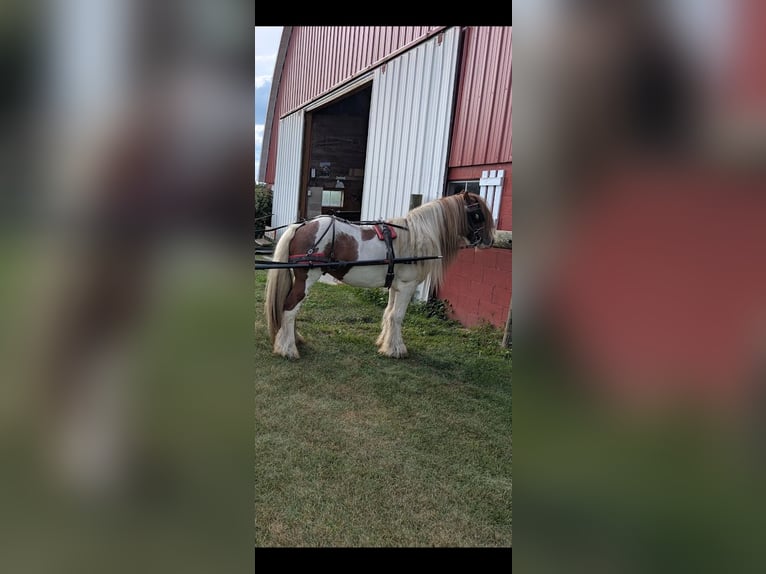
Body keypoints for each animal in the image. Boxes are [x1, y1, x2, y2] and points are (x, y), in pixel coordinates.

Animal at [264, 191, 495, 359]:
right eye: (477, 215)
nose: (489, 240)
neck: (415, 237)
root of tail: (301, 225)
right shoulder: (407, 285)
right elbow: (397, 316)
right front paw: (396, 350)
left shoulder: (396, 285)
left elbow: (389, 313)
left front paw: (385, 343)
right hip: (307, 278)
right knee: (289, 308)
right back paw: (288, 349)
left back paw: (293, 340)